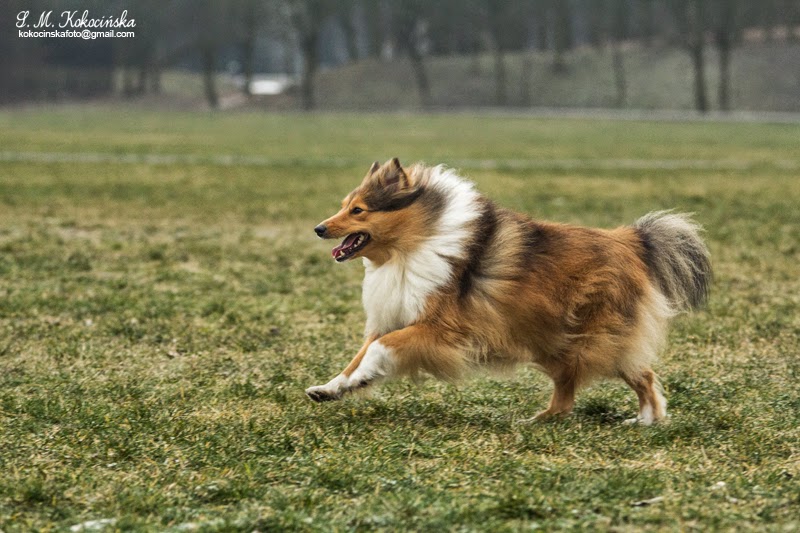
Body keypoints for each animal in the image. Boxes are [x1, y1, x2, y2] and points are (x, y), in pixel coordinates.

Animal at [306, 158, 711, 424]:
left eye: (358, 210)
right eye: (344, 206)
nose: (318, 228)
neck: (411, 244)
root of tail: (631, 240)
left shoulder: (440, 330)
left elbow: (378, 349)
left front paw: (355, 380)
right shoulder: (395, 316)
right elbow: (359, 355)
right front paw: (331, 388)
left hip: (587, 341)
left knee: (639, 376)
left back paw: (642, 421)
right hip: (554, 343)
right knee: (578, 391)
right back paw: (545, 420)